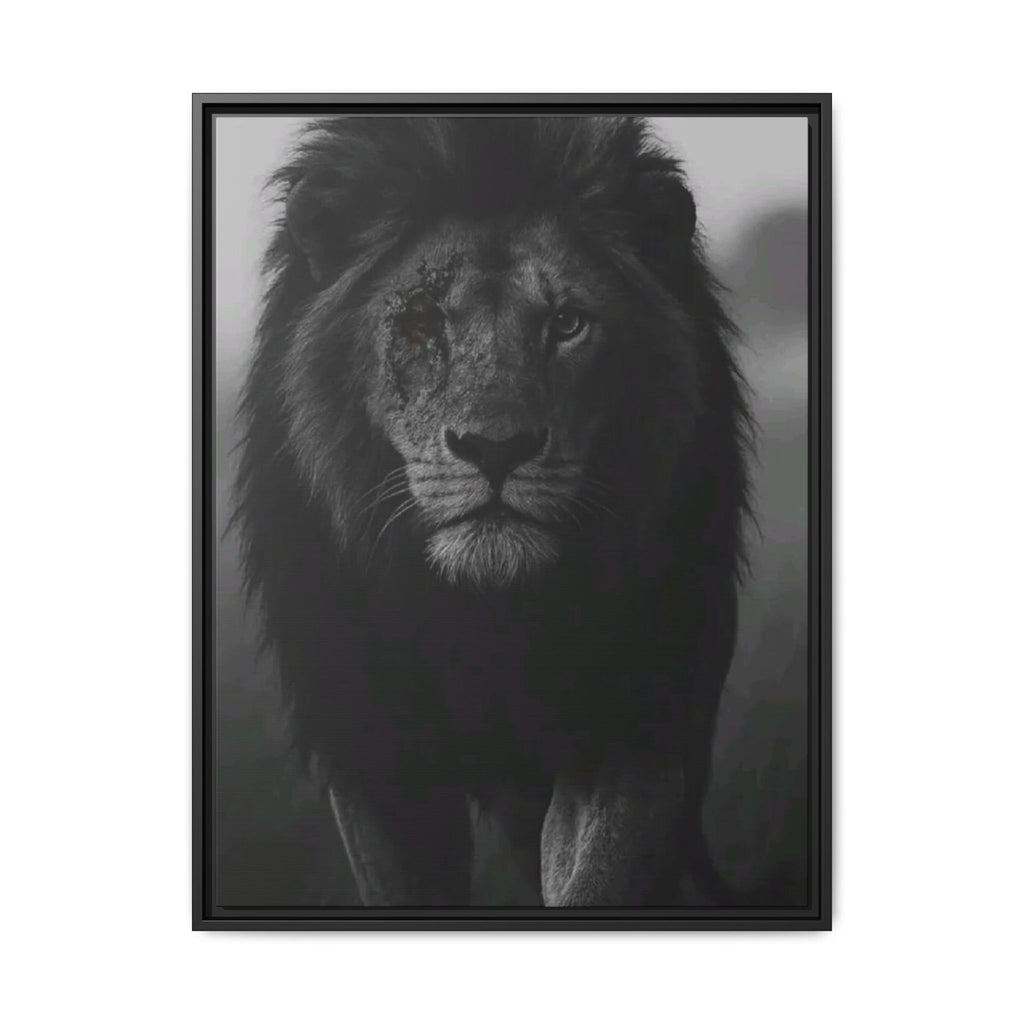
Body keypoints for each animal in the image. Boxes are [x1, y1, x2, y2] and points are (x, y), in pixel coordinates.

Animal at [235, 115, 751, 906]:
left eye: (567, 323)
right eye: (421, 321)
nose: (496, 447)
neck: (488, 618)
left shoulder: (634, 719)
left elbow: (599, 875)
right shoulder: (373, 751)